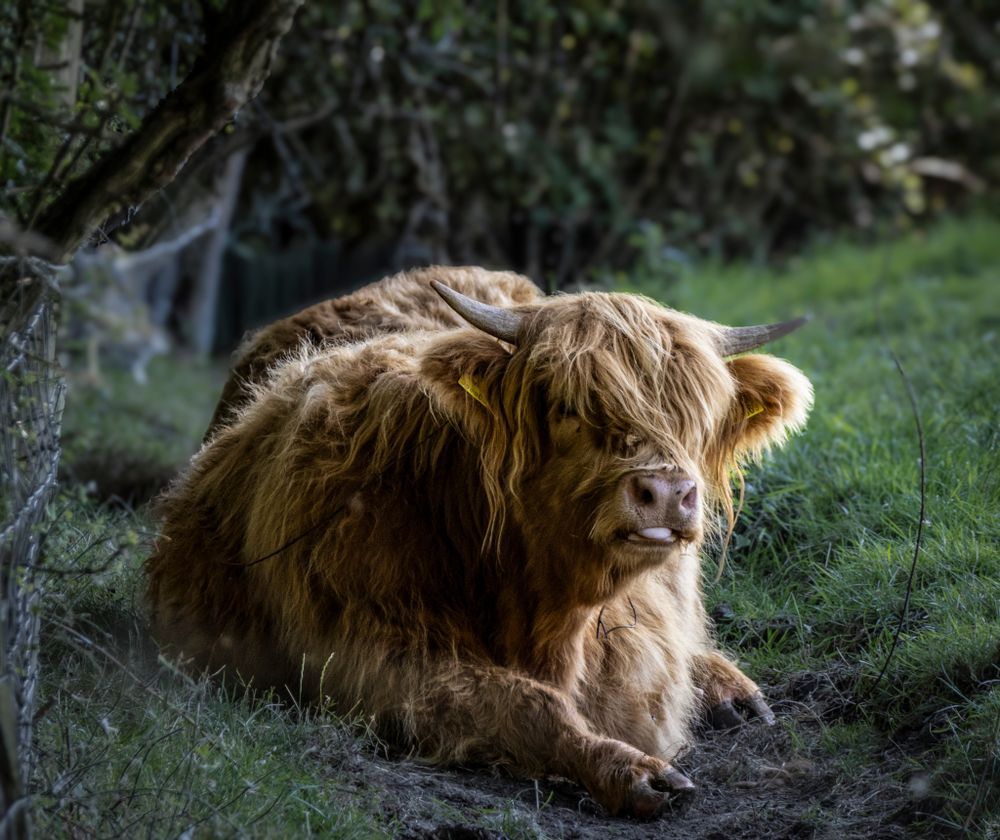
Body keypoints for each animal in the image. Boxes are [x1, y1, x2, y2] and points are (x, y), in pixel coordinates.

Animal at [147, 266, 812, 819]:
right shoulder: (366, 648)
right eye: (568, 407)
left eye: (698, 415)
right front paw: (632, 773)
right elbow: (521, 702)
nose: (670, 491)